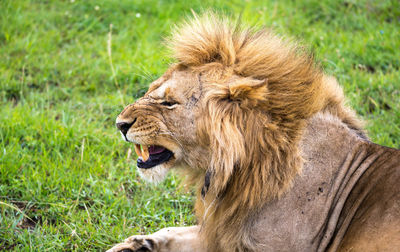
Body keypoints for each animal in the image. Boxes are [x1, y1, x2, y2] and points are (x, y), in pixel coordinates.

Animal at [108, 13, 398, 252]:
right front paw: (134, 245)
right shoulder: (222, 232)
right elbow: (174, 231)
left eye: (169, 102)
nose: (120, 124)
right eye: (150, 90)